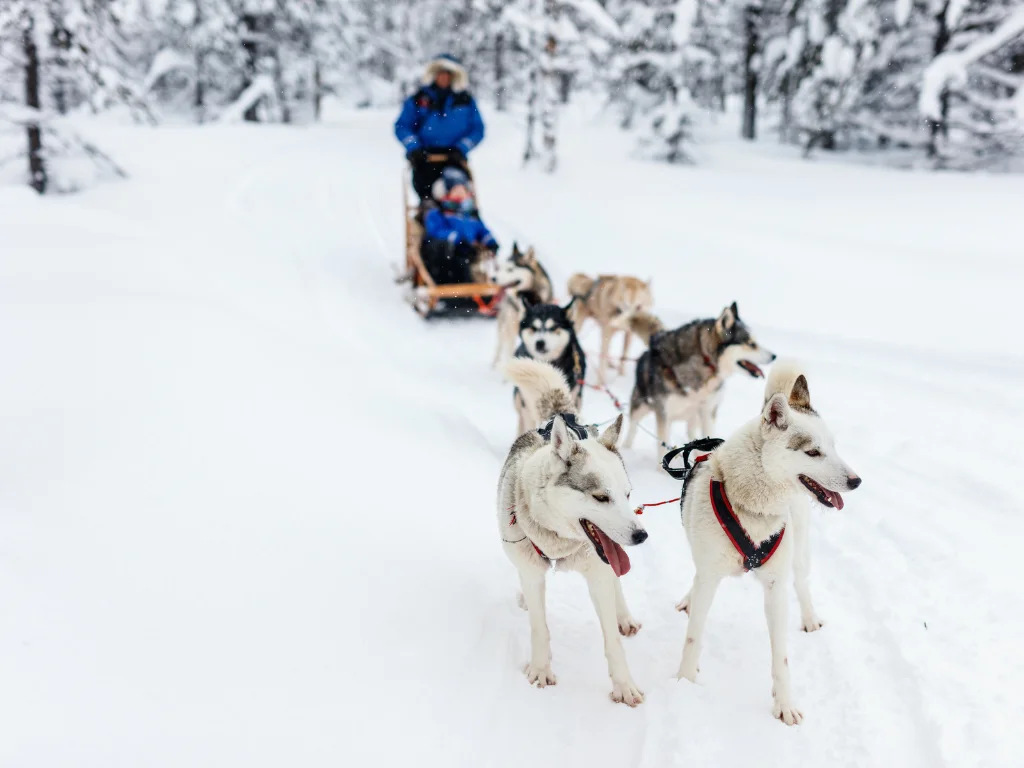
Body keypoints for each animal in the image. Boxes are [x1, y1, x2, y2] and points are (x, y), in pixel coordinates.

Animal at [495, 360, 647, 708]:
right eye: (601, 497)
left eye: (627, 494)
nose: (641, 535)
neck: (559, 541)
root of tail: (562, 418)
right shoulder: (532, 571)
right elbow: (540, 627)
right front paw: (540, 670)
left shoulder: (598, 575)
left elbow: (612, 639)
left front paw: (624, 686)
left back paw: (624, 616)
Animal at [622, 301, 774, 456]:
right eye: (751, 344)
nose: (774, 356)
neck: (705, 360)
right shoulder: (664, 415)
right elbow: (663, 446)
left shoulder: (707, 412)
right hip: (640, 407)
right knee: (632, 429)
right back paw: (626, 448)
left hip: (694, 417)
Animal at [675, 364, 860, 724]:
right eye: (813, 451)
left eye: (833, 446)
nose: (856, 481)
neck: (751, 508)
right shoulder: (709, 576)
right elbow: (692, 634)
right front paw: (685, 681)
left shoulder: (775, 586)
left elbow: (781, 656)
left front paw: (784, 704)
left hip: (798, 554)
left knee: (801, 583)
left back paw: (809, 617)